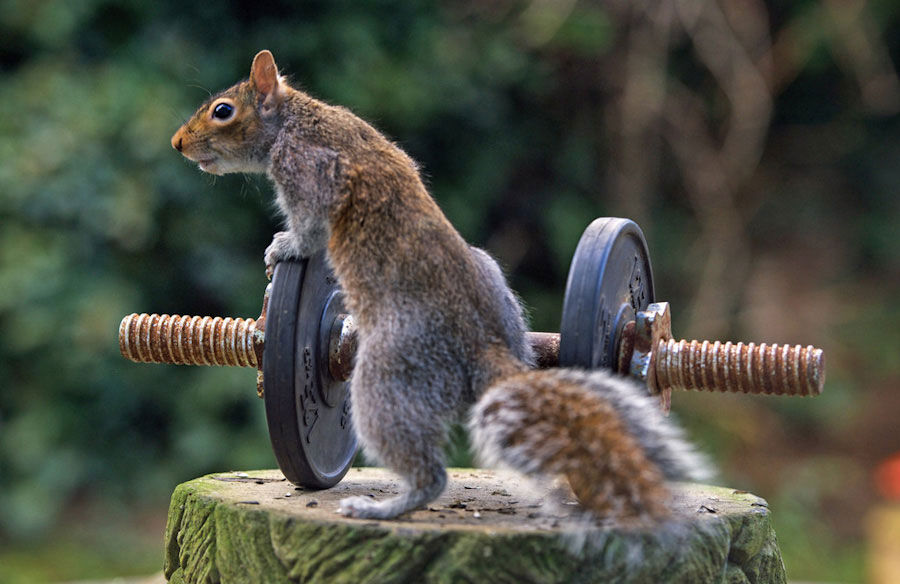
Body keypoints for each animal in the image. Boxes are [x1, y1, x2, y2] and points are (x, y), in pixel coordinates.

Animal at [169, 50, 712, 524]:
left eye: (222, 111)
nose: (177, 143)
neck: (295, 119)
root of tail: (483, 348)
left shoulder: (311, 171)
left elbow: (308, 230)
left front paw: (281, 247)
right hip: (491, 278)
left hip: (389, 371)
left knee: (429, 474)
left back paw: (385, 507)